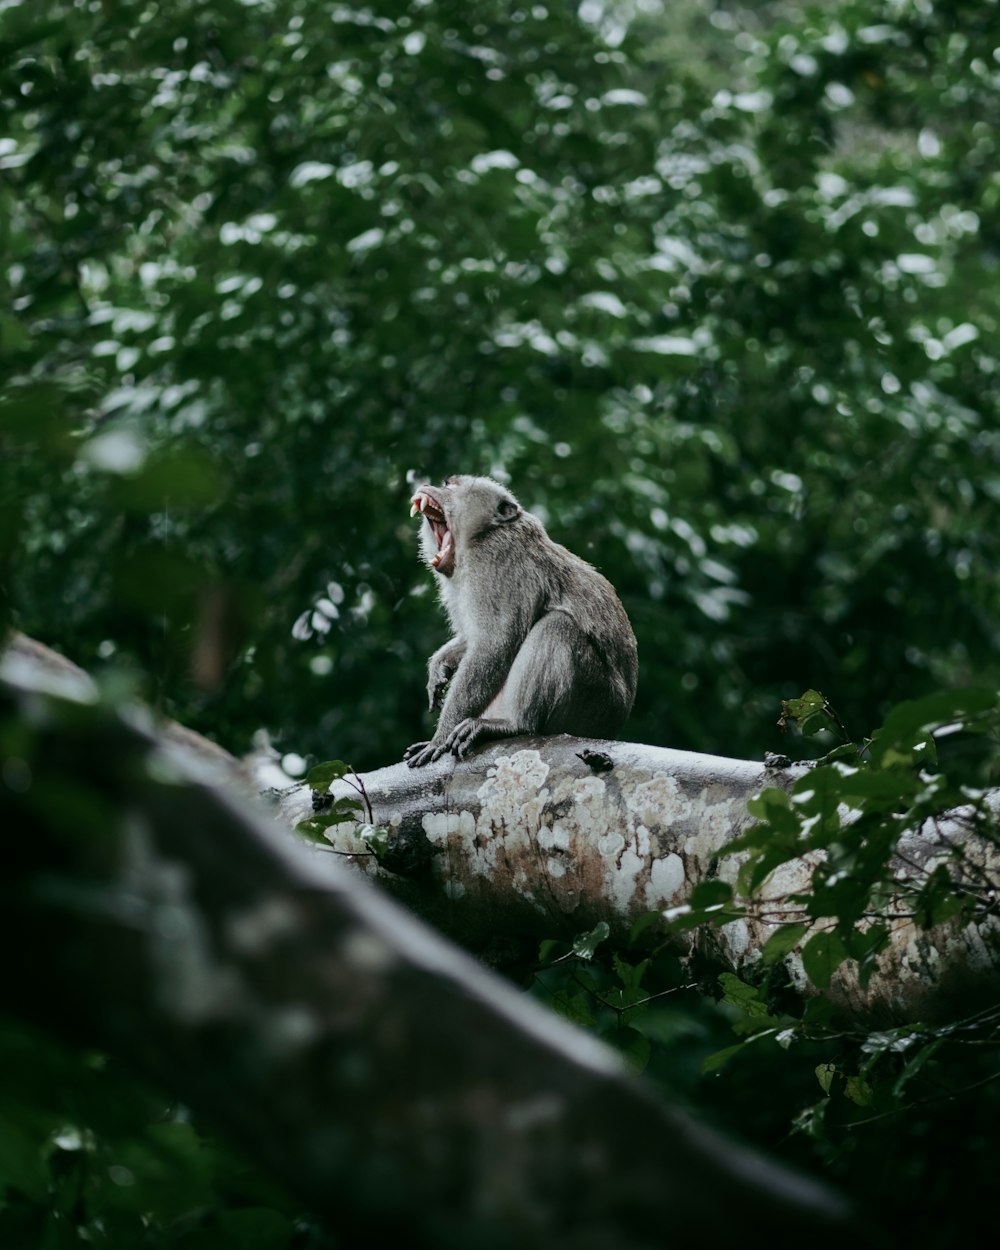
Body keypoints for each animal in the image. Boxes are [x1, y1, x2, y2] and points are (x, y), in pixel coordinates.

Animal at [402, 472, 637, 765]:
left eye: (451, 484)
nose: (428, 486)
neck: (483, 536)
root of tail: (613, 729)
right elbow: (473, 638)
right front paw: (440, 665)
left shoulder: (495, 562)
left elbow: (495, 643)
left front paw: (439, 738)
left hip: (594, 705)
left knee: (557, 626)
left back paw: (516, 724)